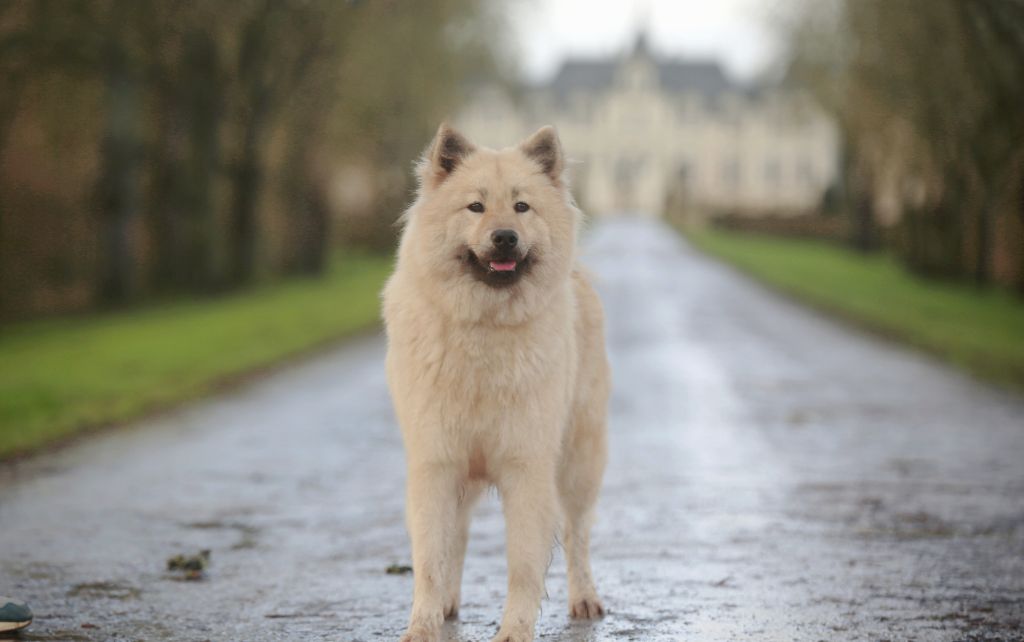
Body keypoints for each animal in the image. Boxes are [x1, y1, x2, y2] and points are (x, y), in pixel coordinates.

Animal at [382, 122, 606, 638]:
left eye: (522, 207)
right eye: (476, 207)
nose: (505, 237)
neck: (483, 330)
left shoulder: (527, 468)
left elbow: (524, 564)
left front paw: (515, 630)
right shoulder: (437, 465)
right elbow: (431, 557)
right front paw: (423, 625)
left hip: (579, 462)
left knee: (578, 533)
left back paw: (584, 598)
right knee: (459, 537)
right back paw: (448, 604)